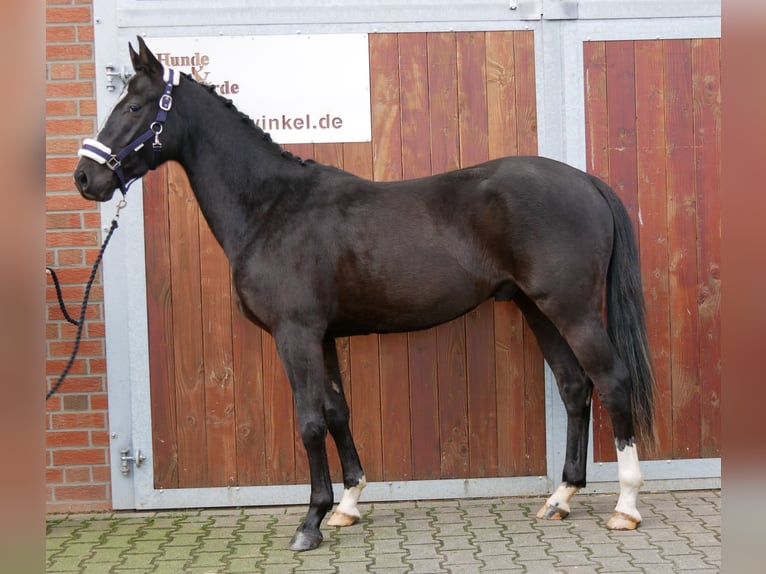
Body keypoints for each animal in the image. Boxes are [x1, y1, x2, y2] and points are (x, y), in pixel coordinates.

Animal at [75, 37, 656, 552]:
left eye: (133, 105)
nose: (85, 177)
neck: (273, 207)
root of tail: (585, 182)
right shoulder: (324, 336)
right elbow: (337, 412)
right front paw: (347, 506)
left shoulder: (296, 335)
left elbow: (309, 421)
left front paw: (310, 522)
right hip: (537, 309)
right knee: (574, 387)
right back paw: (560, 497)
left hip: (572, 310)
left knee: (612, 381)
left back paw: (626, 507)